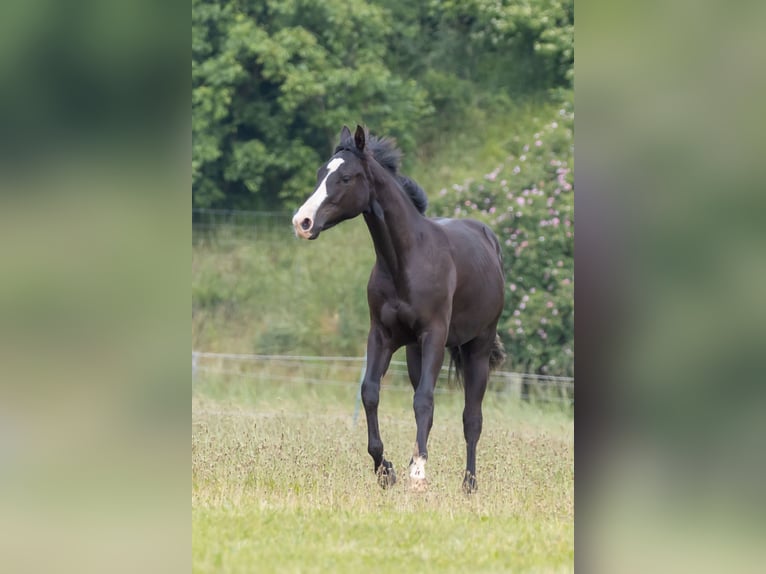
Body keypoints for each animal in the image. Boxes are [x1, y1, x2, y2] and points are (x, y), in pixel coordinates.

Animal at [292, 126, 508, 496]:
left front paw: (418, 474)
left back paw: (469, 484)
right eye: (321, 174)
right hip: (413, 352)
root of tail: (489, 241)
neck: (405, 260)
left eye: (345, 178)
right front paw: (386, 470)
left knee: (472, 418)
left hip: (477, 346)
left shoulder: (434, 335)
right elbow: (370, 393)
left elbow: (425, 401)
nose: (302, 222)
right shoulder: (382, 336)